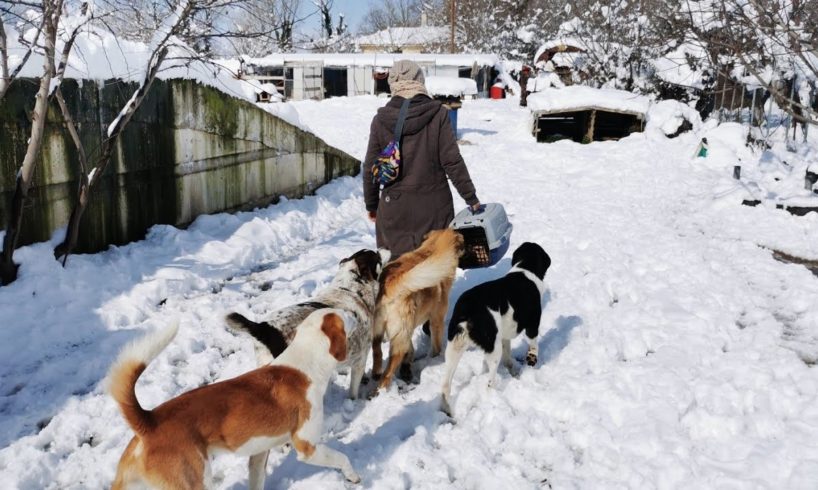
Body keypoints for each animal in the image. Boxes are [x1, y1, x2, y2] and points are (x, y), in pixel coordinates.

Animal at [108, 310, 360, 490]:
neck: (306, 361)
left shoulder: (259, 454)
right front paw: (353, 476)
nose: (356, 314)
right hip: (195, 482)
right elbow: (342, 458)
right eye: (345, 315)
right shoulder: (307, 447)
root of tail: (148, 420)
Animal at [225, 247, 388, 400]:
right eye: (377, 256)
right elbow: (353, 390)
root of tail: (263, 328)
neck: (350, 289)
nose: (384, 248)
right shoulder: (360, 359)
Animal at [372, 228, 462, 392]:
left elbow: (411, 348)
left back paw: (378, 373)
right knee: (388, 372)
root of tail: (390, 284)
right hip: (400, 337)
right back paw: (381, 389)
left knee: (377, 353)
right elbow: (436, 344)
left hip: (380, 332)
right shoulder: (436, 320)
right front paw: (435, 357)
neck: (432, 248)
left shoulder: (407, 329)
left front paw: (409, 362)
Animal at [440, 243, 548, 416]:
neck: (524, 268)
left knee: (445, 386)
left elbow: (508, 357)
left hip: (453, 349)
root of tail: (466, 311)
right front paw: (531, 360)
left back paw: (448, 410)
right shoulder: (532, 324)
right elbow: (533, 346)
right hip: (492, 349)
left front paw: (513, 371)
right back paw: (493, 398)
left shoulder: (504, 336)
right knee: (490, 382)